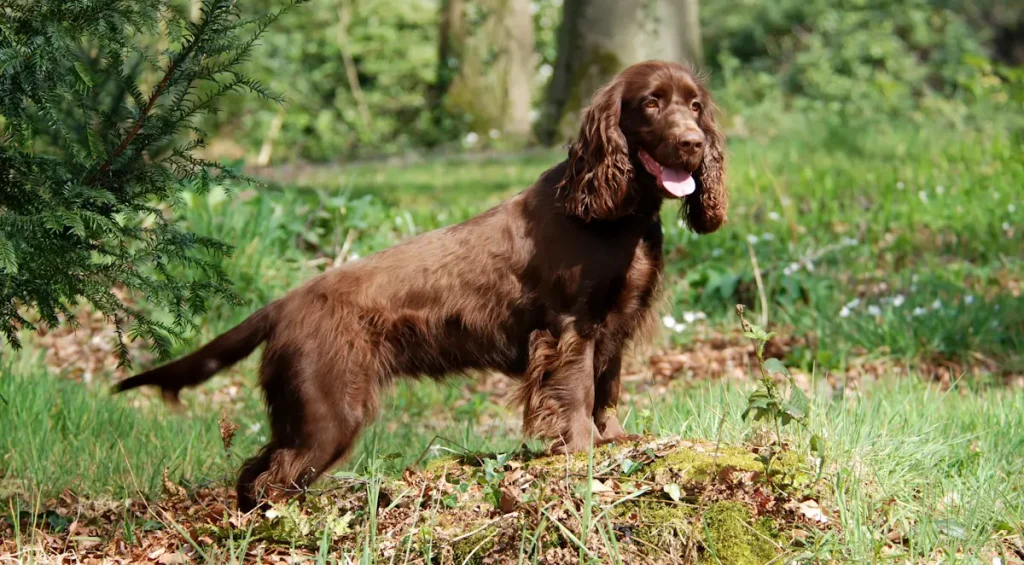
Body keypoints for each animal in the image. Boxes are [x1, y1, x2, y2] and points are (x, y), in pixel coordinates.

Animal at [114, 59, 729, 509]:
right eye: (651, 103)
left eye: (696, 106)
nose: (694, 143)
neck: (615, 215)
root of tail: (283, 303)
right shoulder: (569, 327)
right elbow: (575, 392)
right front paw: (582, 452)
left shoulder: (617, 327)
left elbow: (607, 389)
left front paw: (614, 437)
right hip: (328, 412)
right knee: (274, 476)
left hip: (304, 413)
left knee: (255, 470)